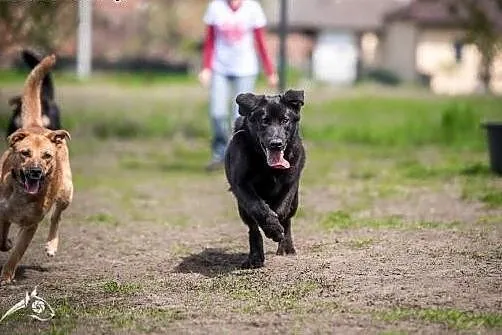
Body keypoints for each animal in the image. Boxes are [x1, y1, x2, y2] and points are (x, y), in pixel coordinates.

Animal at [0, 55, 72, 286]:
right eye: (25, 153)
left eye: (47, 156)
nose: (35, 172)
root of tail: (36, 126)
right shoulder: (2, 212)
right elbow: (2, 235)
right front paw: (5, 244)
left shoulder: (31, 225)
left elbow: (17, 253)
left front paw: (6, 275)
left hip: (66, 191)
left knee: (56, 217)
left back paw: (51, 245)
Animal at [226, 90, 306, 270]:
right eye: (264, 121)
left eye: (285, 120)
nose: (276, 143)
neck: (268, 166)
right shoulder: (241, 184)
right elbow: (258, 208)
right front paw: (272, 228)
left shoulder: (291, 182)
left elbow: (282, 209)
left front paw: (277, 228)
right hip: (242, 208)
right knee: (253, 228)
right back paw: (255, 257)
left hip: (296, 202)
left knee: (288, 220)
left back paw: (286, 247)